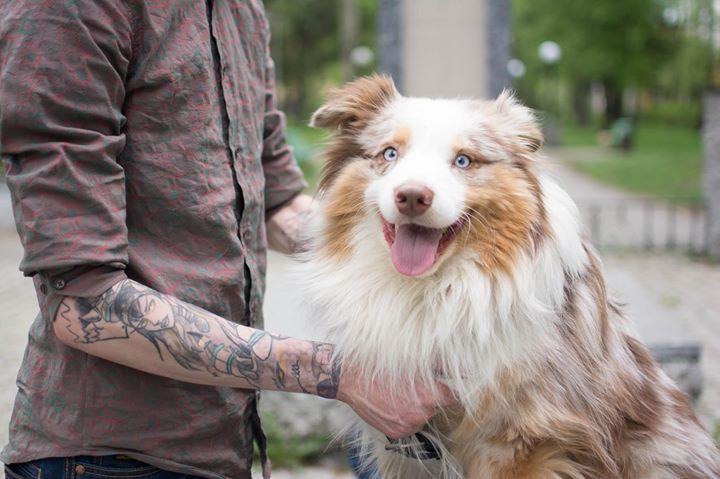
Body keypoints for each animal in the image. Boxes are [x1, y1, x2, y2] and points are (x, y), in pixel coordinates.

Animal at [296, 75, 720, 479]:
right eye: (389, 153)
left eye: (463, 161)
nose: (413, 196)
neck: (430, 288)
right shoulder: (408, 450)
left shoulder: (522, 439)